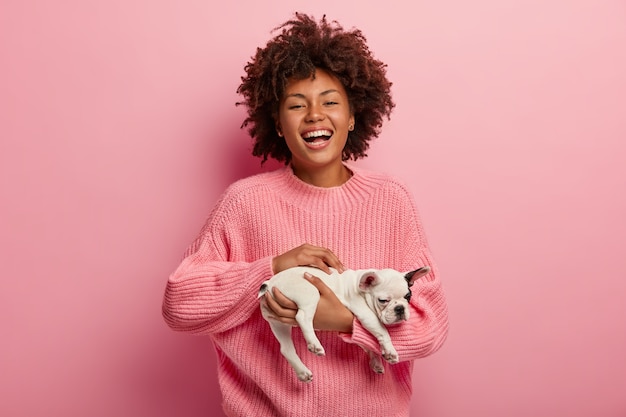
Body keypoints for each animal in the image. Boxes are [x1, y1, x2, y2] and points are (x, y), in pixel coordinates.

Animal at [255, 264, 428, 382]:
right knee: (303, 316)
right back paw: (314, 345)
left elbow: (365, 344)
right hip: (309, 294)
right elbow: (382, 331)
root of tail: (270, 283)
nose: (400, 309)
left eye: (408, 296)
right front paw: (390, 351)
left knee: (286, 349)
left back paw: (302, 372)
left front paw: (376, 361)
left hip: (278, 322)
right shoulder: (366, 313)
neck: (363, 289)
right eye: (383, 300)